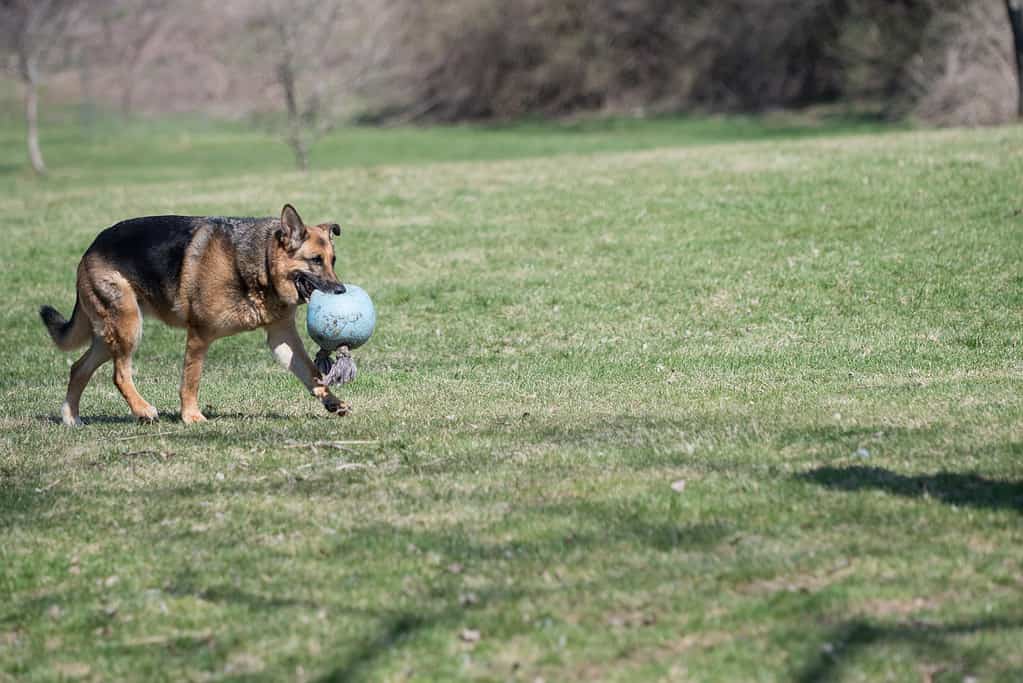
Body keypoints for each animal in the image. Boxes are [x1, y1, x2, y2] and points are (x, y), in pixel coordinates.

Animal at [41, 204, 351, 427]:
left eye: (333, 261)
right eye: (315, 260)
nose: (341, 291)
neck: (258, 264)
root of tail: (91, 247)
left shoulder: (281, 337)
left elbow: (311, 373)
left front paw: (332, 401)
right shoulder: (200, 334)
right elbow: (191, 380)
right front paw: (191, 416)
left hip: (110, 335)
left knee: (78, 368)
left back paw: (71, 418)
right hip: (128, 325)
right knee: (119, 374)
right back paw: (142, 410)